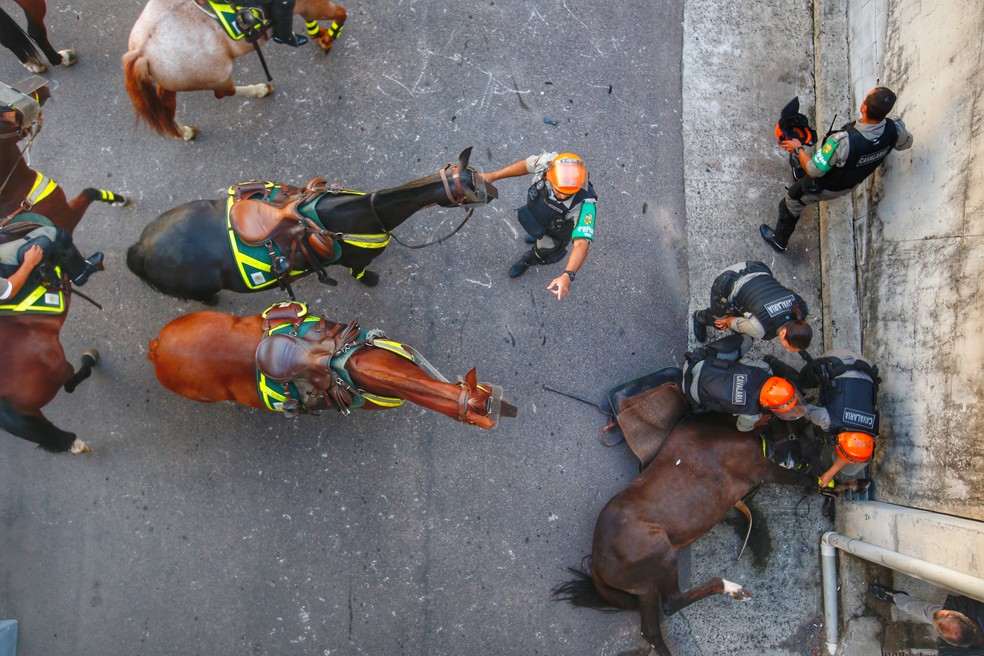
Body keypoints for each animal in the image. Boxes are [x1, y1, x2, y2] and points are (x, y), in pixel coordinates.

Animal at [122, 0, 348, 141]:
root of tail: (142, 50)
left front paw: (319, 34)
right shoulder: (313, 5)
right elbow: (341, 14)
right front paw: (327, 39)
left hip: (172, 80)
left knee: (167, 106)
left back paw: (186, 132)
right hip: (217, 73)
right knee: (223, 92)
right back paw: (260, 89)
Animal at [129, 147, 500, 304]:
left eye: (477, 173)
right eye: (473, 187)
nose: (496, 192)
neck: (359, 212)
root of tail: (142, 247)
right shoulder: (356, 259)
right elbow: (361, 273)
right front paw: (372, 281)